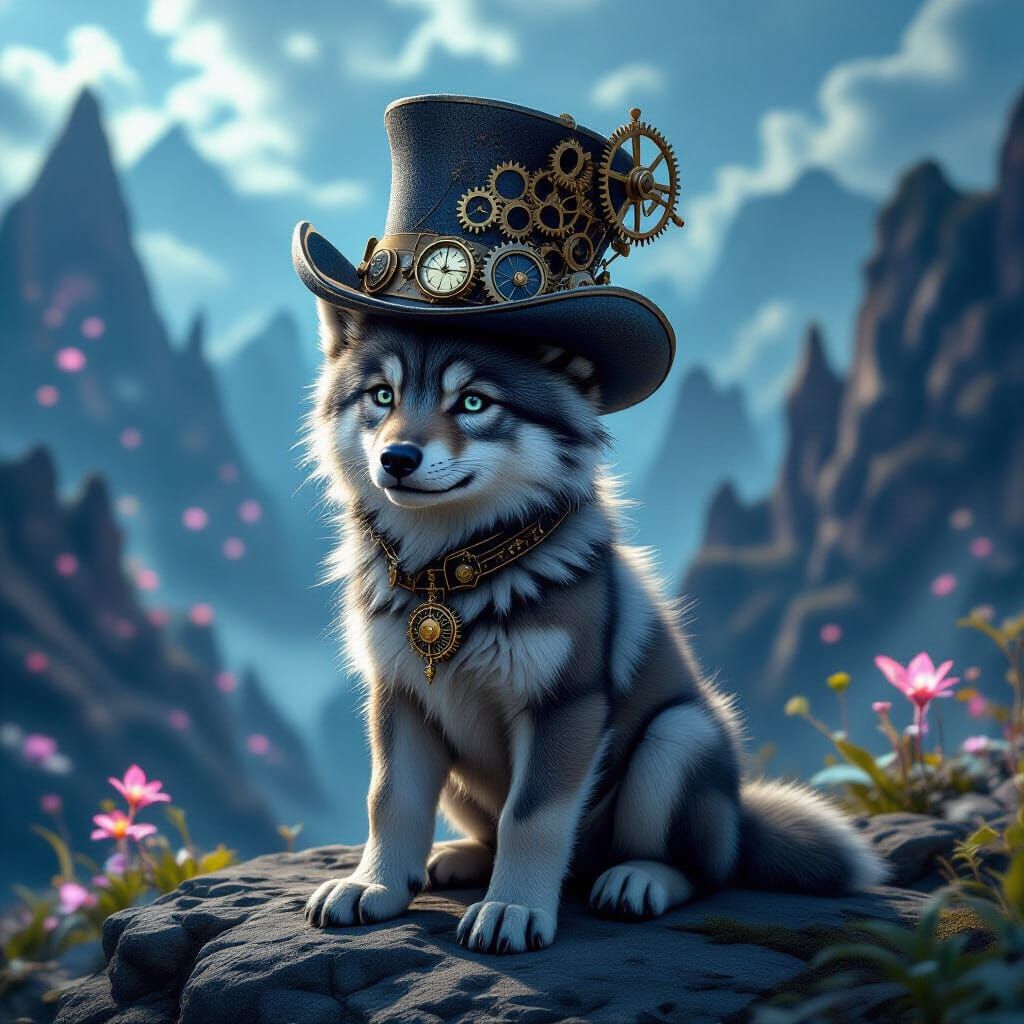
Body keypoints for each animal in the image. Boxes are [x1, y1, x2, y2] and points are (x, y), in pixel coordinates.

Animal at [304, 302, 886, 954]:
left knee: (706, 871)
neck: (450, 577)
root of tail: (740, 818)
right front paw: (373, 886)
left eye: (474, 402)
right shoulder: (398, 695)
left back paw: (639, 879)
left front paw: (512, 907)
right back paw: (461, 858)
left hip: (679, 738)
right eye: (382, 395)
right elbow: (389, 798)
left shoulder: (567, 704)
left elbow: (530, 816)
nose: (397, 458)